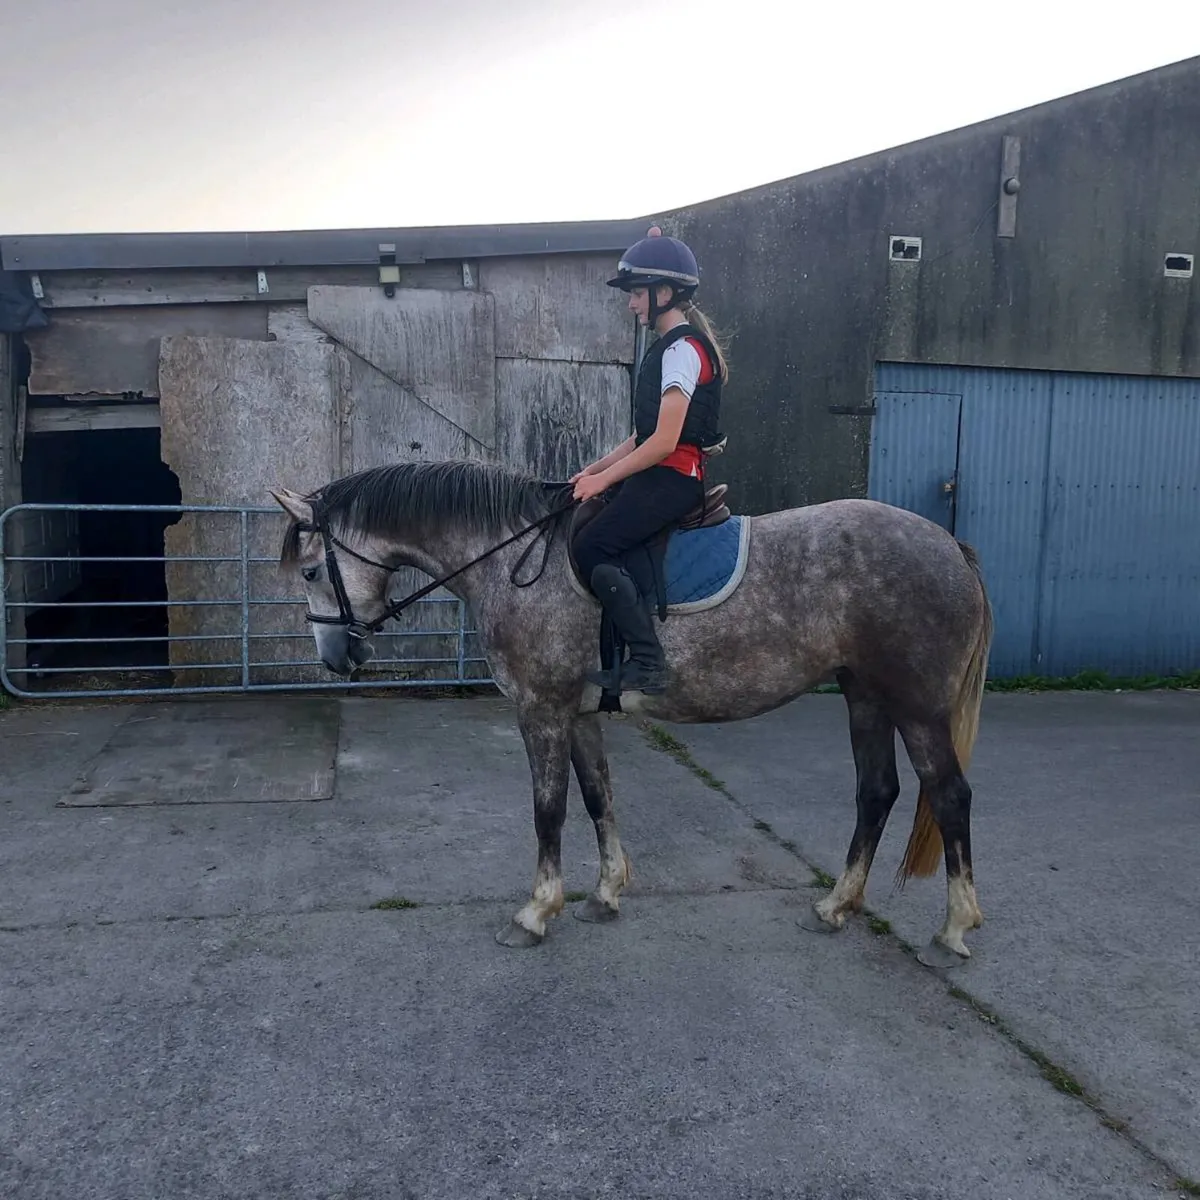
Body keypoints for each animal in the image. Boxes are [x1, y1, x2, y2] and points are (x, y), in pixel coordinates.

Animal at [271, 458, 994, 970]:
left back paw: (953, 928)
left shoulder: (541, 710)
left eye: (309, 572)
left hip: (917, 707)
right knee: (877, 792)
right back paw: (836, 905)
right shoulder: (580, 713)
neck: (512, 559)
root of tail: (950, 545)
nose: (336, 657)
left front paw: (536, 912)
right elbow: (597, 797)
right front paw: (605, 894)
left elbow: (549, 809)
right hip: (864, 694)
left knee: (949, 795)